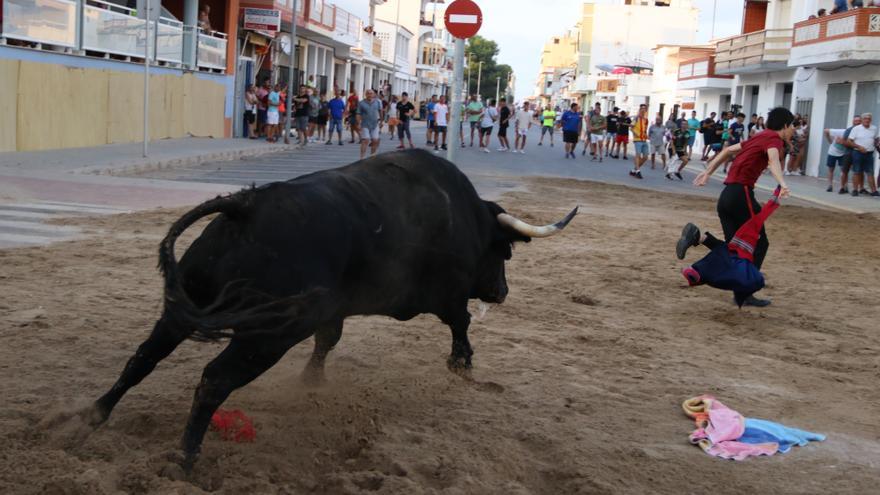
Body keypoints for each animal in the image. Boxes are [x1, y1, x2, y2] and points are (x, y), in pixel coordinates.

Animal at [84, 151, 576, 468]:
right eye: (504, 252)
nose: (502, 292)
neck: (461, 212)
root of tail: (247, 205)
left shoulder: (332, 311)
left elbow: (329, 339)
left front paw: (312, 380)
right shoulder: (447, 293)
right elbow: (461, 322)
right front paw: (462, 363)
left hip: (183, 308)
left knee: (142, 358)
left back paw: (93, 415)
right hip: (267, 336)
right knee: (213, 381)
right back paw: (186, 457)